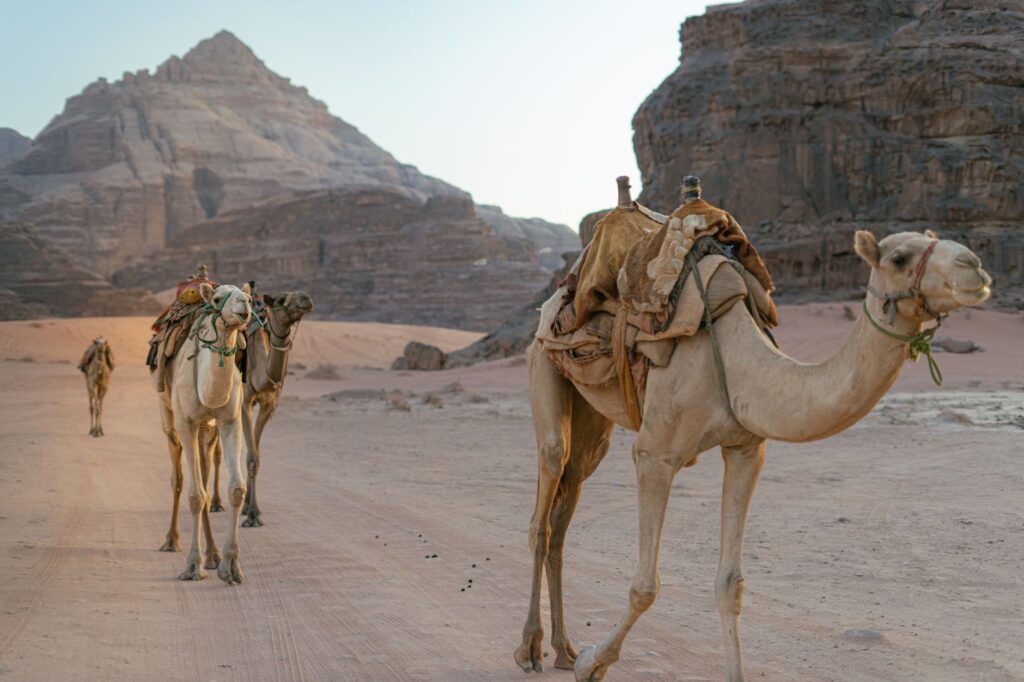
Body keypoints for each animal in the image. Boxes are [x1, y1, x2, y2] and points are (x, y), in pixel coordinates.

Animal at [155, 283, 252, 584]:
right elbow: (195, 496)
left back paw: (213, 555)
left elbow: (235, 489)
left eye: (250, 297)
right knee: (178, 478)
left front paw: (231, 567)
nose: (245, 306)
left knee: (207, 479)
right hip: (169, 418)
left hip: (208, 430)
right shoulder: (186, 422)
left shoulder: (230, 420)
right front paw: (192, 566)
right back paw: (171, 541)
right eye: (218, 299)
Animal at [207, 290, 314, 527]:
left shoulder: (269, 405)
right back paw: (215, 503)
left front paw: (249, 507)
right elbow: (251, 458)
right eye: (281, 300)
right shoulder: (244, 402)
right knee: (214, 450)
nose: (306, 298)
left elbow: (255, 453)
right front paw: (254, 515)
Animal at [514, 186, 993, 681]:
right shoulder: (656, 455)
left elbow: (731, 584)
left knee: (565, 507)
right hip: (543, 363)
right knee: (544, 501)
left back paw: (563, 647)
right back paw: (531, 648)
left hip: (595, 423)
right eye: (899, 257)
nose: (974, 266)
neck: (737, 358)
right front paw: (592, 663)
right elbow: (645, 586)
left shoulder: (745, 449)